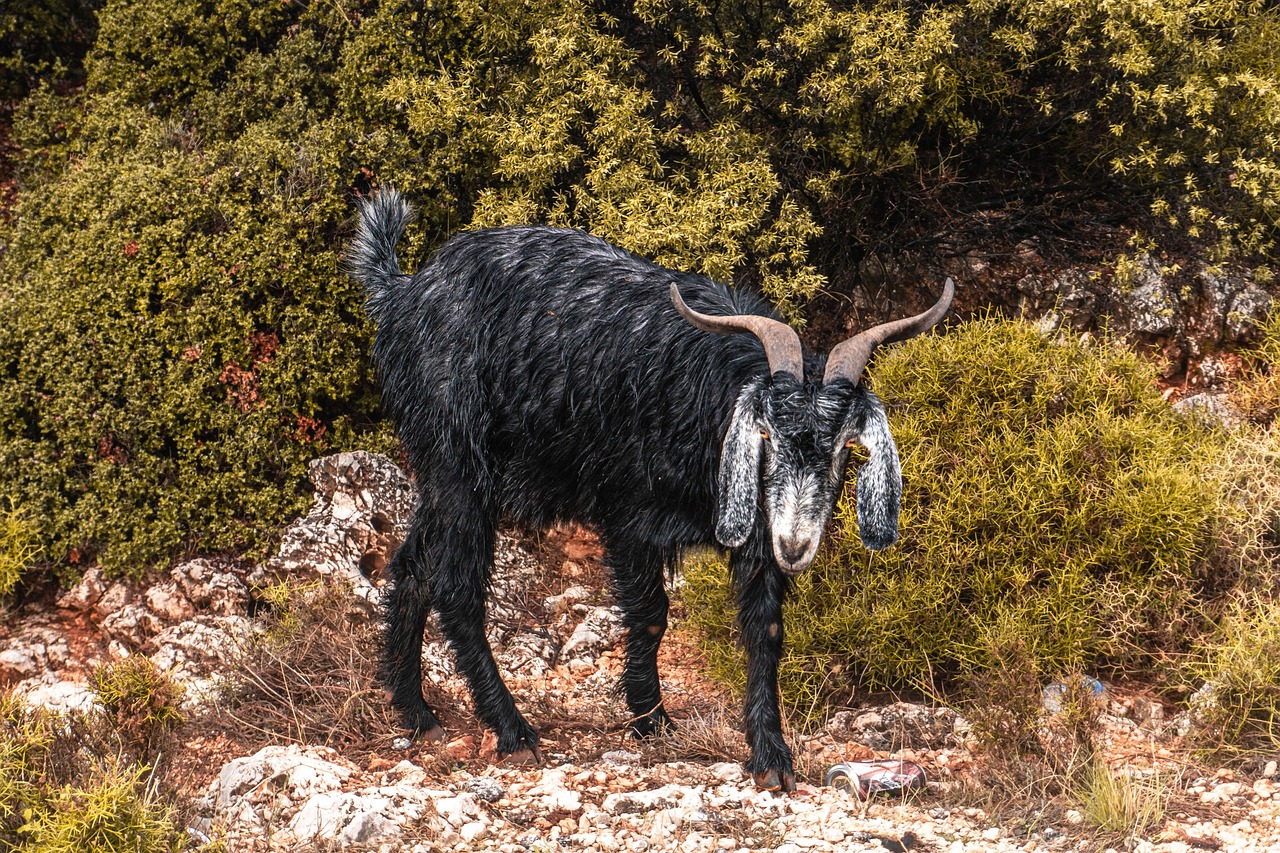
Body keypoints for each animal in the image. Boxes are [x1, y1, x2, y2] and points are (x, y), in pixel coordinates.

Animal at [347, 189, 952, 792]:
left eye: (844, 445)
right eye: (764, 433)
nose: (797, 545)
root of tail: (401, 294)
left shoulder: (759, 538)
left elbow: (765, 630)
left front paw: (771, 756)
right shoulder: (629, 515)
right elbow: (652, 612)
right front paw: (650, 717)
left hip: (442, 477)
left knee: (411, 566)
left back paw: (416, 711)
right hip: (459, 466)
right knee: (455, 586)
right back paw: (511, 729)